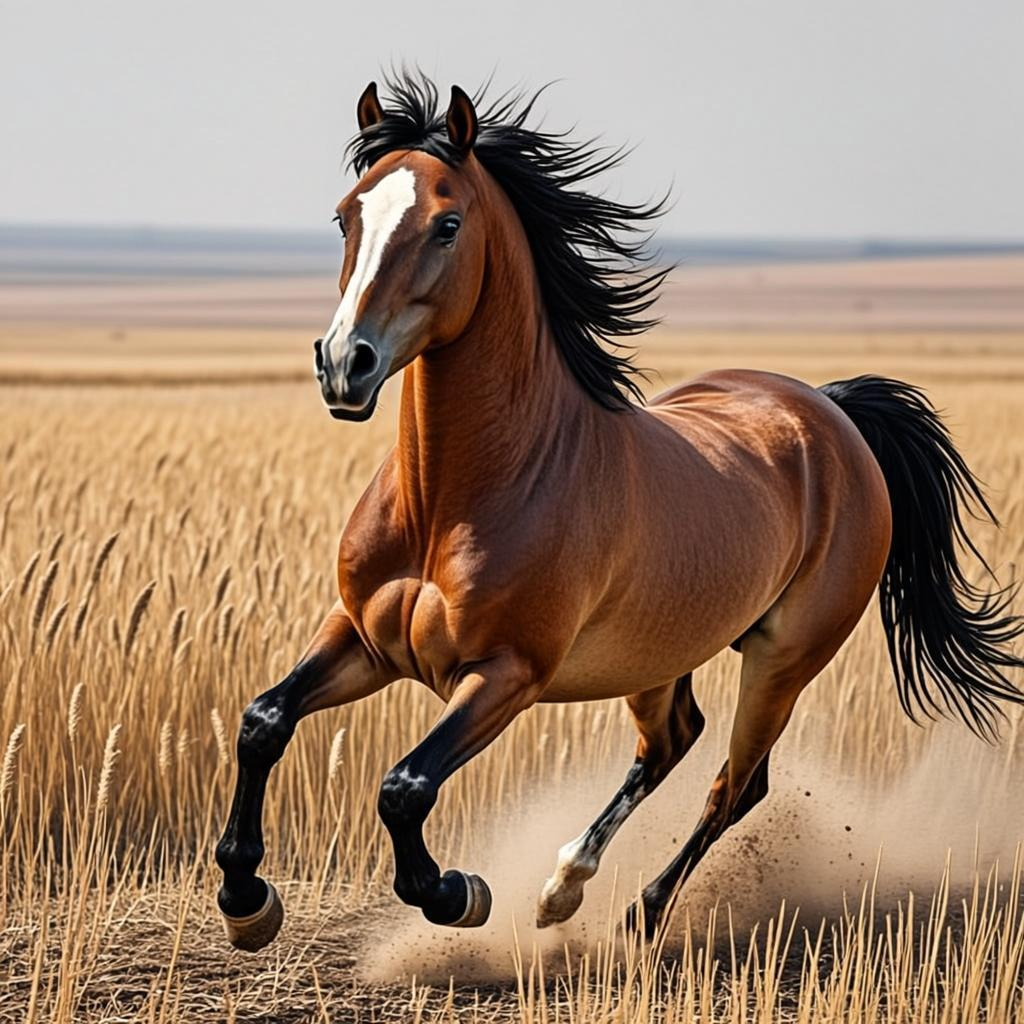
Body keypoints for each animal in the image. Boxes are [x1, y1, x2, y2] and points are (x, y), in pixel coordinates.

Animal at [215, 73, 1024, 952]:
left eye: (447, 223)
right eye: (346, 215)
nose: (344, 365)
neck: (453, 501)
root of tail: (829, 408)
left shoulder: (505, 674)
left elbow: (405, 786)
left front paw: (457, 893)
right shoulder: (360, 637)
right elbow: (263, 721)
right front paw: (245, 898)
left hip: (784, 658)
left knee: (735, 784)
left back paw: (640, 912)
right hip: (661, 653)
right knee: (673, 742)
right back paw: (562, 887)